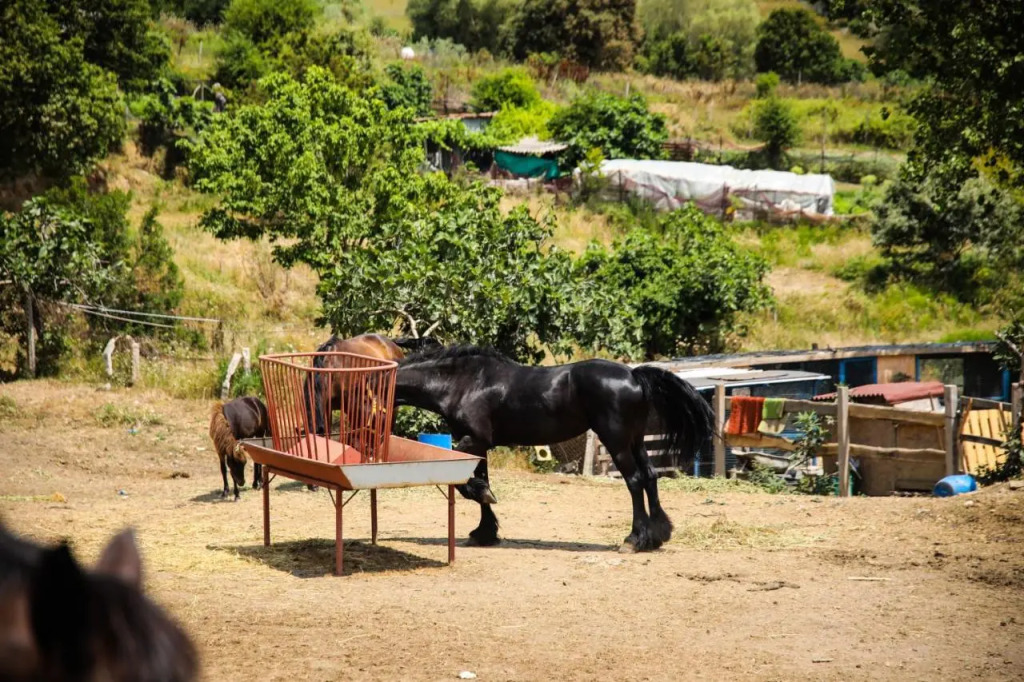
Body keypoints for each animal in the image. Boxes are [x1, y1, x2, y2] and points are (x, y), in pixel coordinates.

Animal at [394, 345, 715, 553]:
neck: (462, 382)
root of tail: (634, 375)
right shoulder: (479, 445)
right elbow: (480, 481)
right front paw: (484, 533)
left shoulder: (473, 440)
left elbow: (471, 486)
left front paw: (485, 507)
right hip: (636, 441)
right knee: (650, 477)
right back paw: (657, 536)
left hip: (617, 442)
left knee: (635, 481)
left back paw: (633, 540)